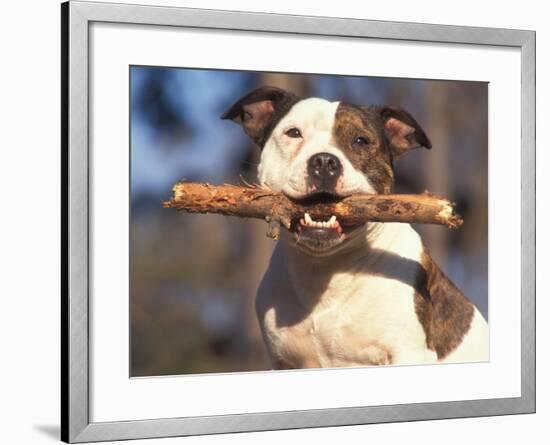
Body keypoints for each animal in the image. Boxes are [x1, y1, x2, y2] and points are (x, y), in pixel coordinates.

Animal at [222, 86, 490, 368]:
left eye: (361, 140)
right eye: (293, 133)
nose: (324, 162)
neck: (325, 268)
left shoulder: (407, 352)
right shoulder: (283, 361)